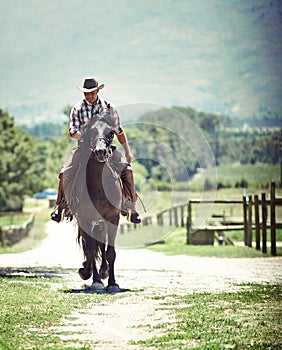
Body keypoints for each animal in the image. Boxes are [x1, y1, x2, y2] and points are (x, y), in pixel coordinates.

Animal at [70, 113, 122, 292]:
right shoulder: (86, 219)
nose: (100, 152)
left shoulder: (113, 218)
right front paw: (96, 281)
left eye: (111, 132)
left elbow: (110, 252)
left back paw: (103, 270)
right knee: (89, 246)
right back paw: (87, 271)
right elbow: (91, 250)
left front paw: (112, 283)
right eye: (91, 131)